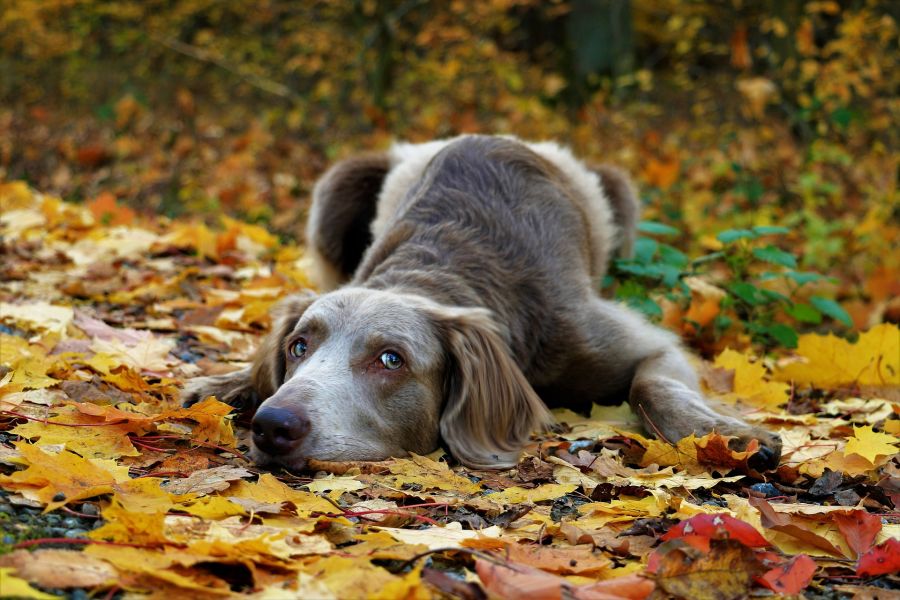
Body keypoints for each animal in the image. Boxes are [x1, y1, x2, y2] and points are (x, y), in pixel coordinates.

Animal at [183, 134, 780, 472]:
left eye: (391, 359)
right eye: (299, 346)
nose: (273, 425)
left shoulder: (629, 337)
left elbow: (651, 384)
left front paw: (733, 438)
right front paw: (231, 381)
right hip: (337, 187)